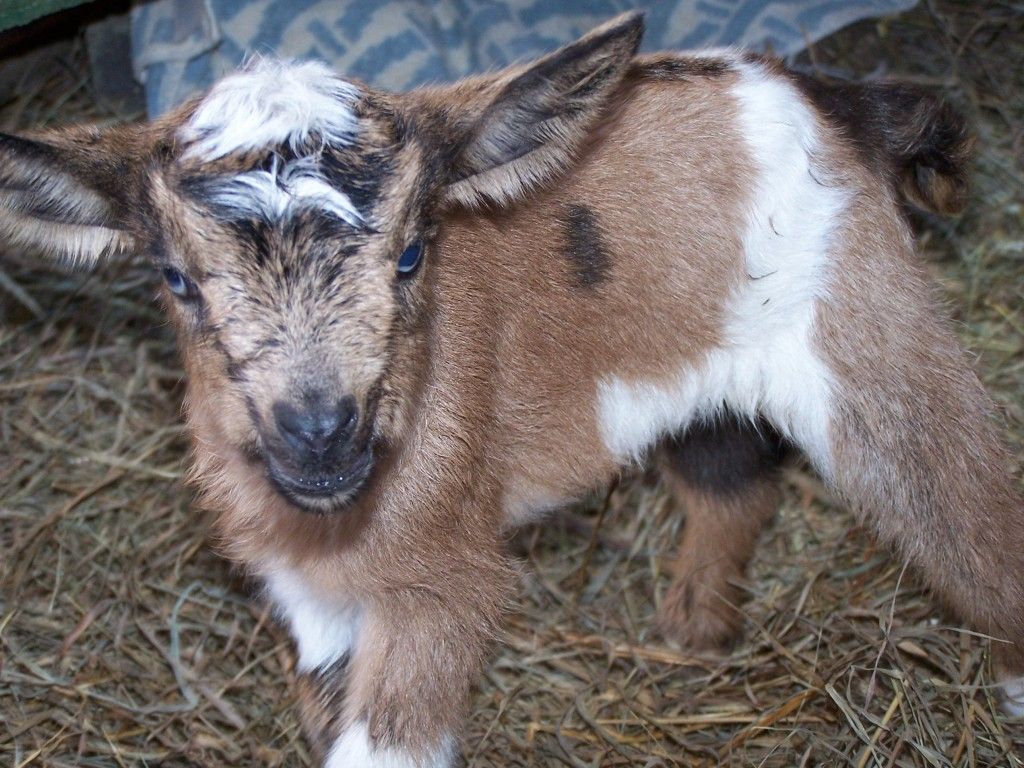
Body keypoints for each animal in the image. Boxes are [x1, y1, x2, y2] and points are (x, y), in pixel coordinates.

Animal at [1, 12, 1020, 767]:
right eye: (176, 280)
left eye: (413, 254)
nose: (321, 433)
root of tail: (832, 97)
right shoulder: (305, 590)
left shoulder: (440, 571)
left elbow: (388, 736)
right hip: (707, 359)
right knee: (733, 475)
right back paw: (692, 628)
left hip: (871, 340)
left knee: (966, 502)